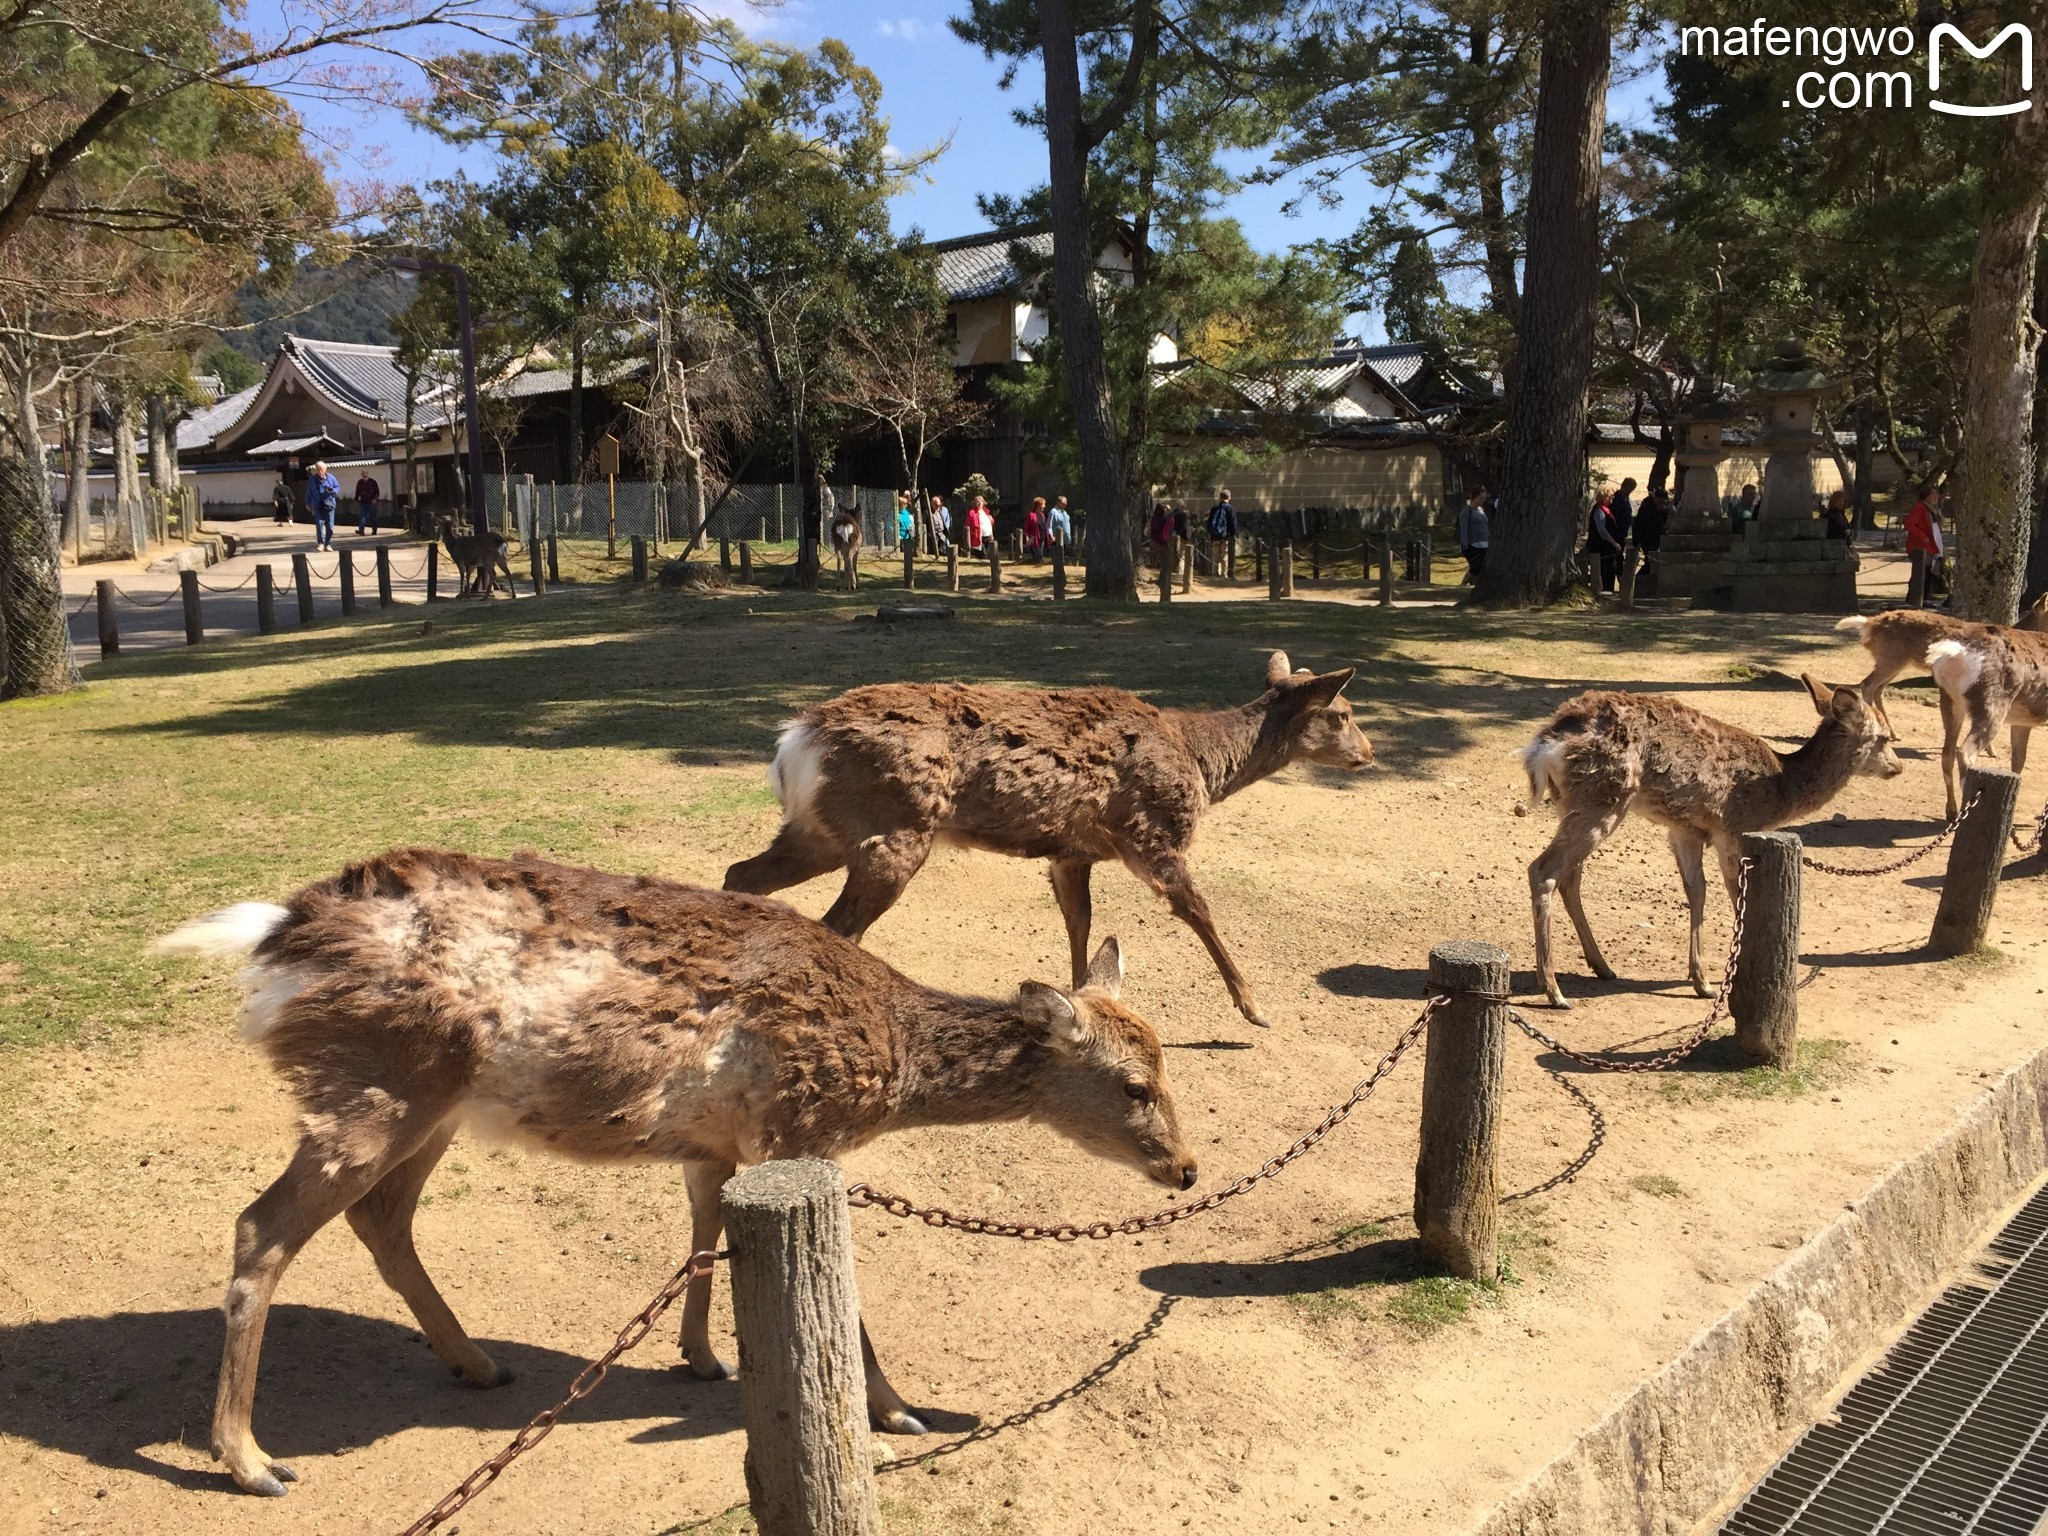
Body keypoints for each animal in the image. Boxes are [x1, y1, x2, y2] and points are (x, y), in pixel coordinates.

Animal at [151, 847, 1196, 1499]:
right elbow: (841, 1289)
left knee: (382, 1218)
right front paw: (899, 1412)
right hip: (375, 1085)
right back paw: (253, 1462)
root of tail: (275, 942)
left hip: (429, 1105)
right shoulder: (794, 1127)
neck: (888, 1062)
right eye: (1134, 1083)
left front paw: (701, 1356)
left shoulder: (717, 1145)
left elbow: (704, 1234)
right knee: (263, 1227)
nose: (1186, 1169)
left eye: (1165, 1062)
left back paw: (478, 1363)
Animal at [724, 651, 1376, 1036]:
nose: (1369, 754)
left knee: (742, 873)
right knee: (837, 926)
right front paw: (1254, 1008)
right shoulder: (1152, 833)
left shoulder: (1071, 851)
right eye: (1342, 714)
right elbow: (1199, 911)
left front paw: (1082, 1000)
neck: (1201, 765)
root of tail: (794, 741)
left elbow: (1079, 921)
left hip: (821, 829)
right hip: (893, 831)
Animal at [1523, 684, 1900, 1011]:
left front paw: (1701, 980)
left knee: (1570, 877)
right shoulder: (1732, 829)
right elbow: (1736, 895)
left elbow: (1697, 890)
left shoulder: (1685, 830)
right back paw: (1554, 991)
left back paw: (1602, 966)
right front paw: (1729, 976)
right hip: (1604, 796)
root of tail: (1544, 745)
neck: (1781, 787)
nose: (1897, 766)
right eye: (1883, 736)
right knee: (1543, 869)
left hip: (1570, 802)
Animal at [1925, 626, 2039, 823]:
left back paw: (1951, 811)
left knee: (1947, 753)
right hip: (1992, 703)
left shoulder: (2022, 722)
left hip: (1950, 701)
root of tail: (1953, 652)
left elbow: (2018, 761)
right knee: (1964, 751)